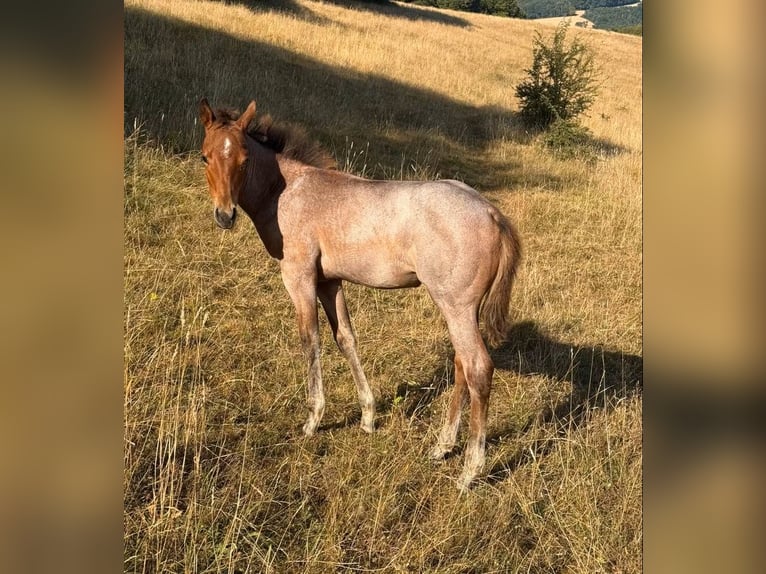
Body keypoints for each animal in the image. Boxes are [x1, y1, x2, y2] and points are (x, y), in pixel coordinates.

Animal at [198, 99, 521, 489]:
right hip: (461, 310)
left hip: (456, 307)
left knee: (477, 368)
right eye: (205, 157)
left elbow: (311, 340)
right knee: (461, 363)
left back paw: (469, 471)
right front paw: (367, 417)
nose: (225, 215)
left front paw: (313, 419)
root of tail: (492, 213)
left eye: (244, 159)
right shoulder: (330, 282)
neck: (287, 191)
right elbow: (346, 338)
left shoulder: (299, 277)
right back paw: (442, 447)